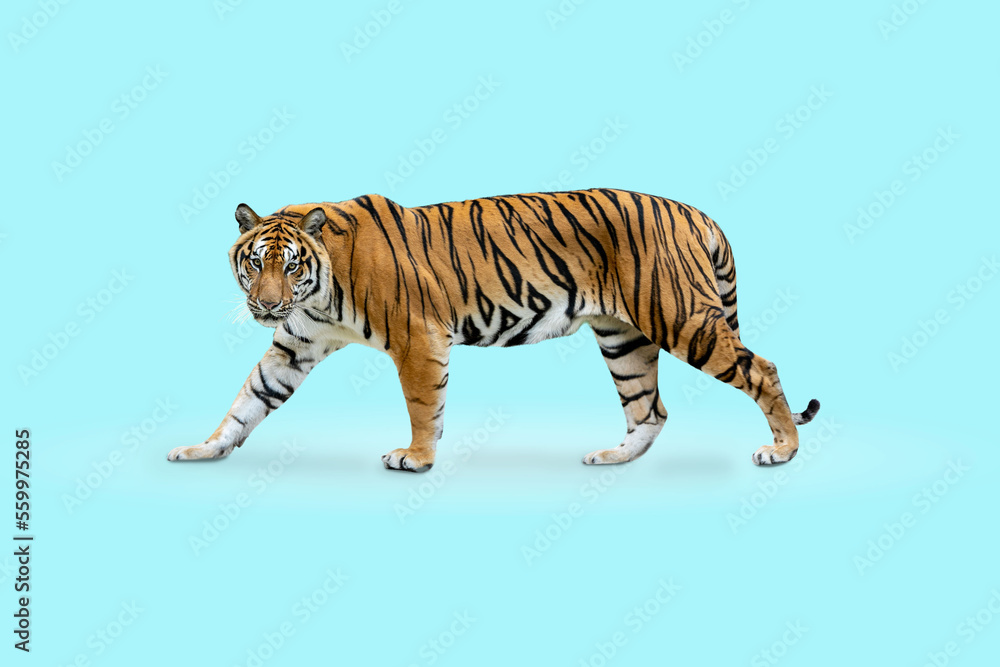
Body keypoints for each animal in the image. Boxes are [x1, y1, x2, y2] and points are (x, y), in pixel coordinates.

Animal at [166, 188, 819, 471]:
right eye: (255, 262)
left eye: (290, 265)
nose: (266, 305)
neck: (320, 295)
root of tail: (693, 209)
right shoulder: (294, 345)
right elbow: (248, 401)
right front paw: (203, 449)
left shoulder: (418, 339)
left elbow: (423, 406)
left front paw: (416, 458)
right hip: (623, 337)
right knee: (649, 410)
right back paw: (613, 457)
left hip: (682, 316)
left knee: (762, 369)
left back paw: (782, 450)